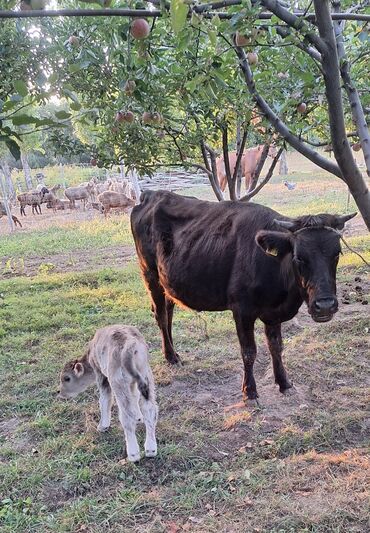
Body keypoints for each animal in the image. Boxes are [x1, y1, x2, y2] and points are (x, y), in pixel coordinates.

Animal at [131, 190, 356, 400]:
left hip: (168, 282)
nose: (325, 305)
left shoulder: (273, 313)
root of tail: (151, 194)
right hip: (149, 274)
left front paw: (284, 383)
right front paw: (250, 391)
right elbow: (249, 351)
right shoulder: (242, 310)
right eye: (299, 257)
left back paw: (172, 353)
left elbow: (276, 346)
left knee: (168, 311)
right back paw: (170, 356)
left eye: (337, 253)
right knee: (160, 315)